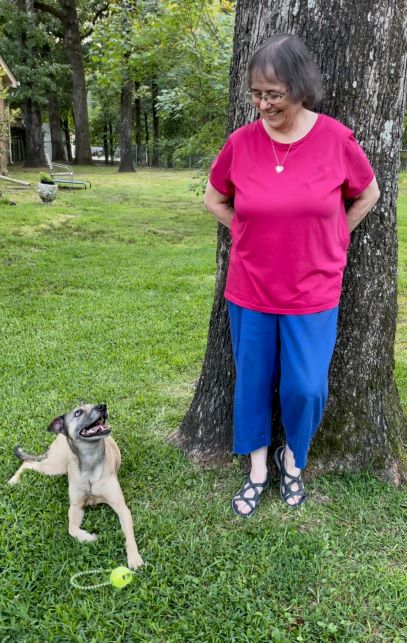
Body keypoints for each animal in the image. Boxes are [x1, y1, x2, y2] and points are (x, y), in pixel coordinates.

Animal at [6, 406, 145, 572]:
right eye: (78, 412)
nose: (103, 406)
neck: (90, 460)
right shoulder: (75, 507)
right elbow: (71, 529)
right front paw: (89, 538)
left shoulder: (122, 508)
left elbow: (129, 535)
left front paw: (134, 557)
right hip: (55, 467)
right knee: (28, 463)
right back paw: (14, 480)